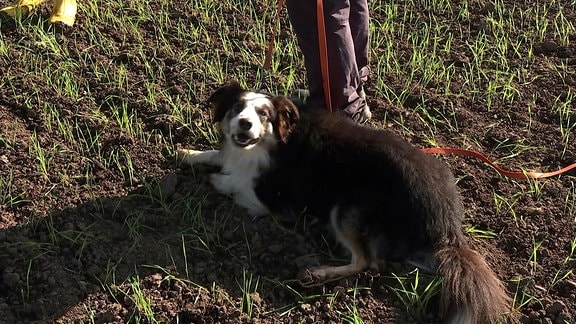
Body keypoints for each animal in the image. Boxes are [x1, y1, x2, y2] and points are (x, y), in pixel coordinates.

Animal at [177, 82, 512, 322]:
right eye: (236, 108)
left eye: (263, 115)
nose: (244, 124)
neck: (276, 141)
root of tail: (446, 227)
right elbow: (218, 154)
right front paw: (188, 153)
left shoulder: (271, 201)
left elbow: (233, 181)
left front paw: (214, 178)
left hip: (347, 207)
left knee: (367, 262)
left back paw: (317, 273)